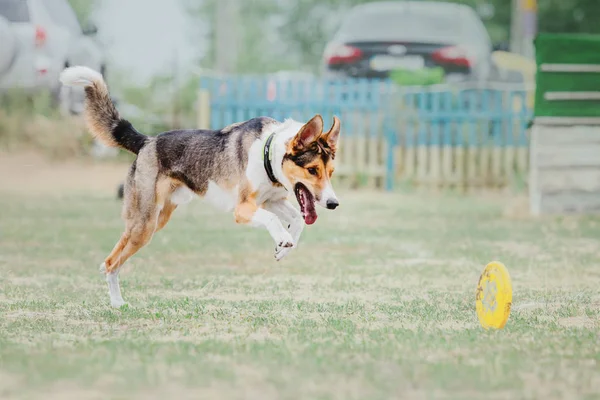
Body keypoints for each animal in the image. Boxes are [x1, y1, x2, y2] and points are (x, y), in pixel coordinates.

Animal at [61, 67, 344, 308]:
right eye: (312, 170)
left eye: (330, 173)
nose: (333, 204)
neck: (268, 152)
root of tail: (147, 141)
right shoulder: (244, 209)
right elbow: (274, 220)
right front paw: (283, 239)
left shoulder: (270, 200)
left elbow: (297, 219)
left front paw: (284, 248)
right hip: (145, 222)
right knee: (112, 262)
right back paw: (117, 303)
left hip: (155, 220)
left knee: (115, 254)